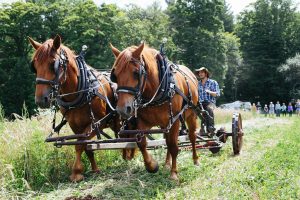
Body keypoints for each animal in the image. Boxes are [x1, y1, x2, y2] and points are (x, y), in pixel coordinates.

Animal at [28, 35, 122, 182]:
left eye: (53, 64)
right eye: (34, 66)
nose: (40, 100)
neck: (81, 91)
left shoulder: (97, 122)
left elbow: (80, 144)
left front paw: (76, 172)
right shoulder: (75, 125)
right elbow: (87, 147)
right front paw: (95, 169)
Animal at [110, 42, 199, 180]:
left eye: (136, 72)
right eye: (115, 75)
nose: (123, 109)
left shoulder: (174, 121)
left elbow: (174, 146)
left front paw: (174, 174)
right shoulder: (142, 122)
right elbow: (142, 144)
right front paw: (152, 165)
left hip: (191, 115)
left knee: (192, 136)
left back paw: (195, 160)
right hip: (164, 124)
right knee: (167, 139)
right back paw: (167, 164)